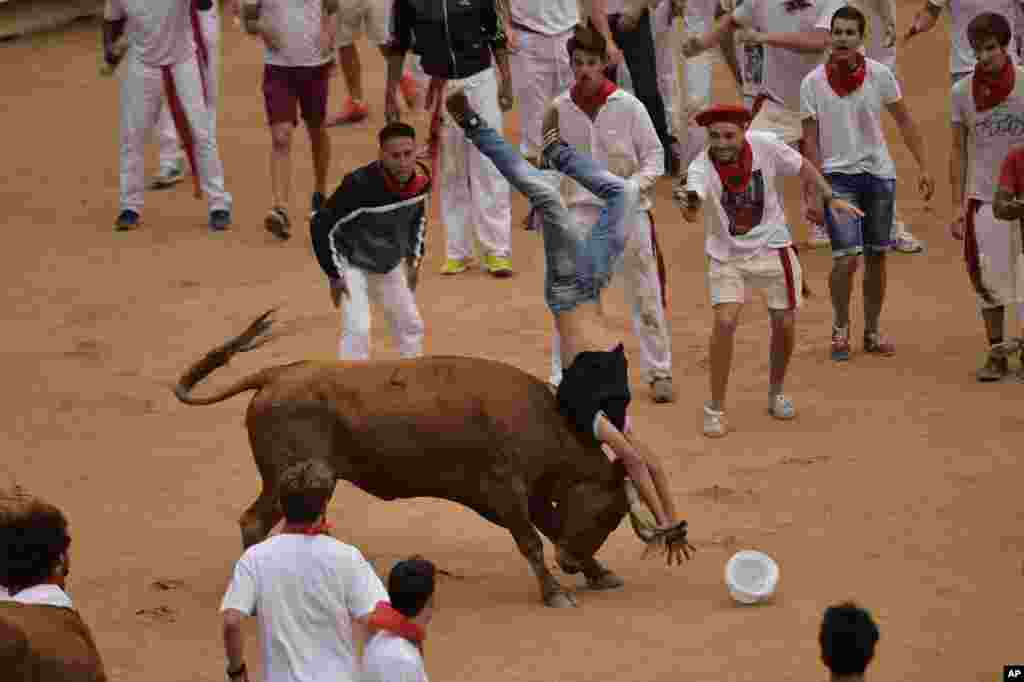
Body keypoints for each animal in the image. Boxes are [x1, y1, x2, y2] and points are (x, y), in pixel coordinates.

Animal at [169, 311, 647, 602]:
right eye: (606, 515)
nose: (570, 563)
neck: (541, 419)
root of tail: (276, 375)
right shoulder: (506, 489)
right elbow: (531, 538)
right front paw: (556, 592)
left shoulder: (520, 495)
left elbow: (549, 525)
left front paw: (598, 572)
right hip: (291, 478)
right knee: (253, 522)